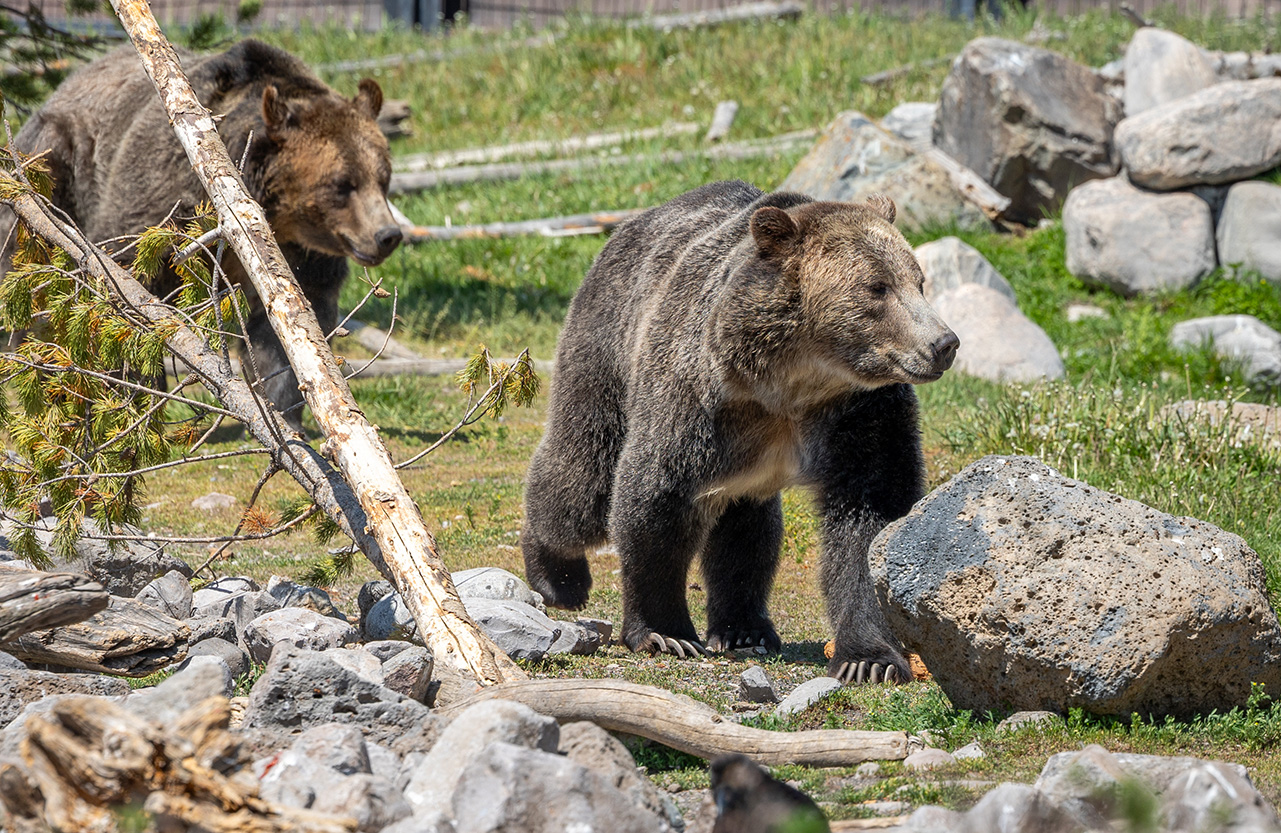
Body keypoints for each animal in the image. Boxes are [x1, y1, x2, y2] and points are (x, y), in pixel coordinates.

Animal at [0, 39, 401, 428]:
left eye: (383, 177)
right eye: (342, 184)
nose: (388, 235)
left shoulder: (297, 255)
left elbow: (291, 332)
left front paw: (285, 413)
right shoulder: (164, 202)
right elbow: (126, 286)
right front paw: (136, 392)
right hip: (52, 166)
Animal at [521, 180, 958, 685]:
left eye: (918, 280)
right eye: (878, 287)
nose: (944, 343)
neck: (790, 384)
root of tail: (628, 226)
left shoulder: (861, 415)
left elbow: (871, 517)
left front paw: (868, 660)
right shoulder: (697, 398)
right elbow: (654, 496)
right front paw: (664, 632)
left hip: (745, 467)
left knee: (745, 530)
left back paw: (744, 628)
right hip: (606, 345)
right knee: (583, 480)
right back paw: (558, 577)